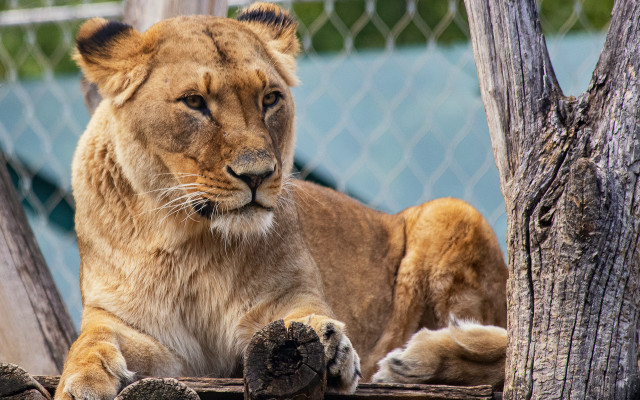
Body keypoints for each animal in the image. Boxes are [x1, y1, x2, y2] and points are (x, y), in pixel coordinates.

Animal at [55, 3, 508, 399]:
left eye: (270, 98)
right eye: (194, 102)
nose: (257, 174)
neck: (190, 240)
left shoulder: (284, 300)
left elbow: (301, 318)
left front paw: (330, 346)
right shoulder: (132, 324)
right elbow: (89, 340)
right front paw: (82, 380)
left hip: (451, 212)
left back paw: (417, 359)